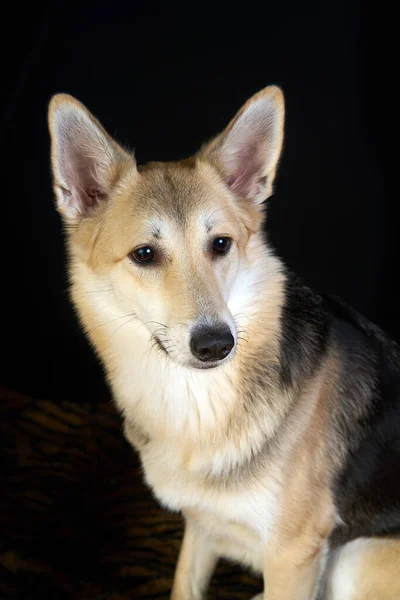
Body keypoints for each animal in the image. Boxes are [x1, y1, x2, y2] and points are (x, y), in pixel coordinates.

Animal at [48, 85, 398, 600]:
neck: (196, 402)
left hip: (359, 554)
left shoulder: (294, 554)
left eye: (220, 244)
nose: (216, 344)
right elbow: (185, 584)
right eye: (144, 254)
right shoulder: (201, 524)